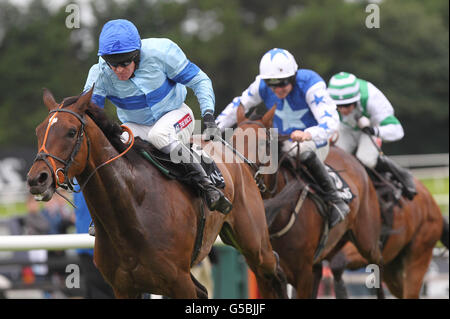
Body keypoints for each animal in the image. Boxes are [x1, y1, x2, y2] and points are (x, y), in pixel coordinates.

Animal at [25, 88, 288, 300]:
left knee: (275, 270)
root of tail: (238, 156)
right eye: (38, 131)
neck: (131, 210)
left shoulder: (179, 283)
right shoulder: (124, 288)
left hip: (254, 243)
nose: (37, 179)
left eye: (71, 132)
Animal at [232, 105, 384, 300]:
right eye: (232, 140)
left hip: (367, 241)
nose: (241, 172)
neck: (278, 216)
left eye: (263, 143)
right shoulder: (264, 275)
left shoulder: (303, 274)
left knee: (378, 265)